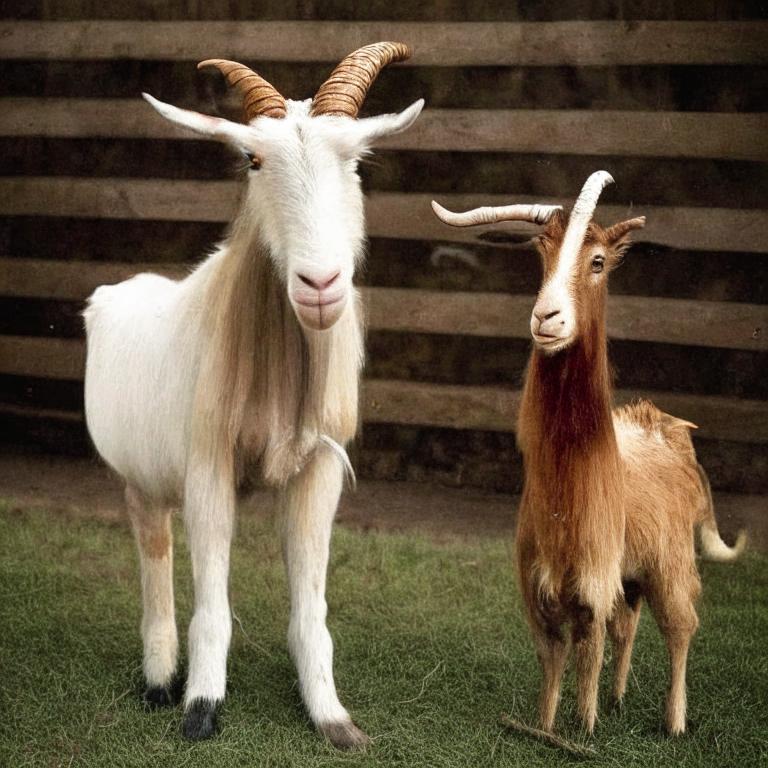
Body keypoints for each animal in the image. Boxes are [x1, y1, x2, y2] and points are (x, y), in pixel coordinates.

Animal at [83, 43, 423, 749]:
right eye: (253, 160)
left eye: (357, 161)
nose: (319, 285)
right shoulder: (207, 468)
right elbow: (212, 601)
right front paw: (200, 709)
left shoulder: (318, 469)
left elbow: (311, 606)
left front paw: (333, 718)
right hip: (140, 480)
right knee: (154, 556)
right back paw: (159, 681)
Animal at [432, 172, 746, 736]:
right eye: (541, 253)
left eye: (598, 261)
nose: (547, 318)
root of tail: (671, 429)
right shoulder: (538, 591)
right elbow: (553, 657)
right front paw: (545, 727)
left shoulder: (594, 583)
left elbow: (588, 651)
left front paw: (585, 727)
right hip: (635, 571)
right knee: (631, 623)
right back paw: (620, 697)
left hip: (670, 563)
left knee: (681, 626)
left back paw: (673, 721)